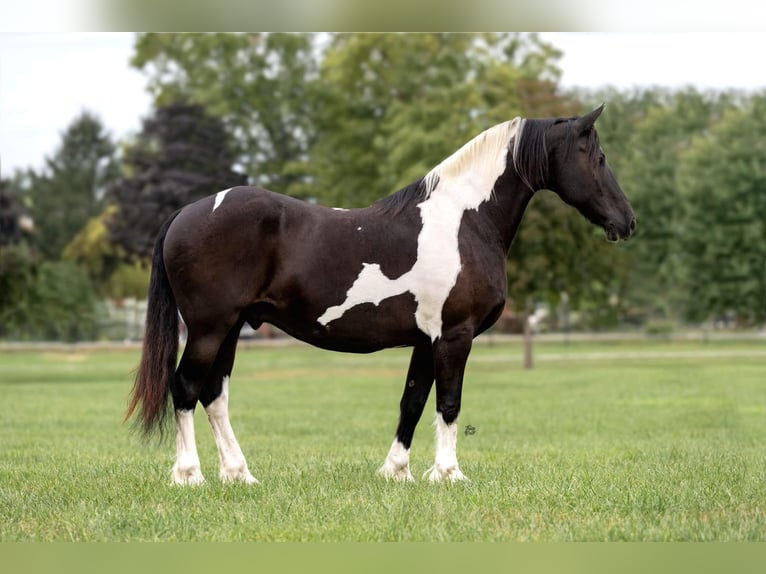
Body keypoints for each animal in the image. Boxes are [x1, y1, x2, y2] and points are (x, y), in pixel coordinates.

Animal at [126, 104, 640, 486]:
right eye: (597, 158)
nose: (627, 221)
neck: (465, 221)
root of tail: (186, 213)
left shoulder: (426, 341)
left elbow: (412, 402)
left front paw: (398, 472)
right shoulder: (455, 336)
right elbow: (448, 403)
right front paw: (449, 474)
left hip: (232, 328)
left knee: (214, 394)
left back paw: (239, 474)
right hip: (209, 328)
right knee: (185, 387)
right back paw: (189, 475)